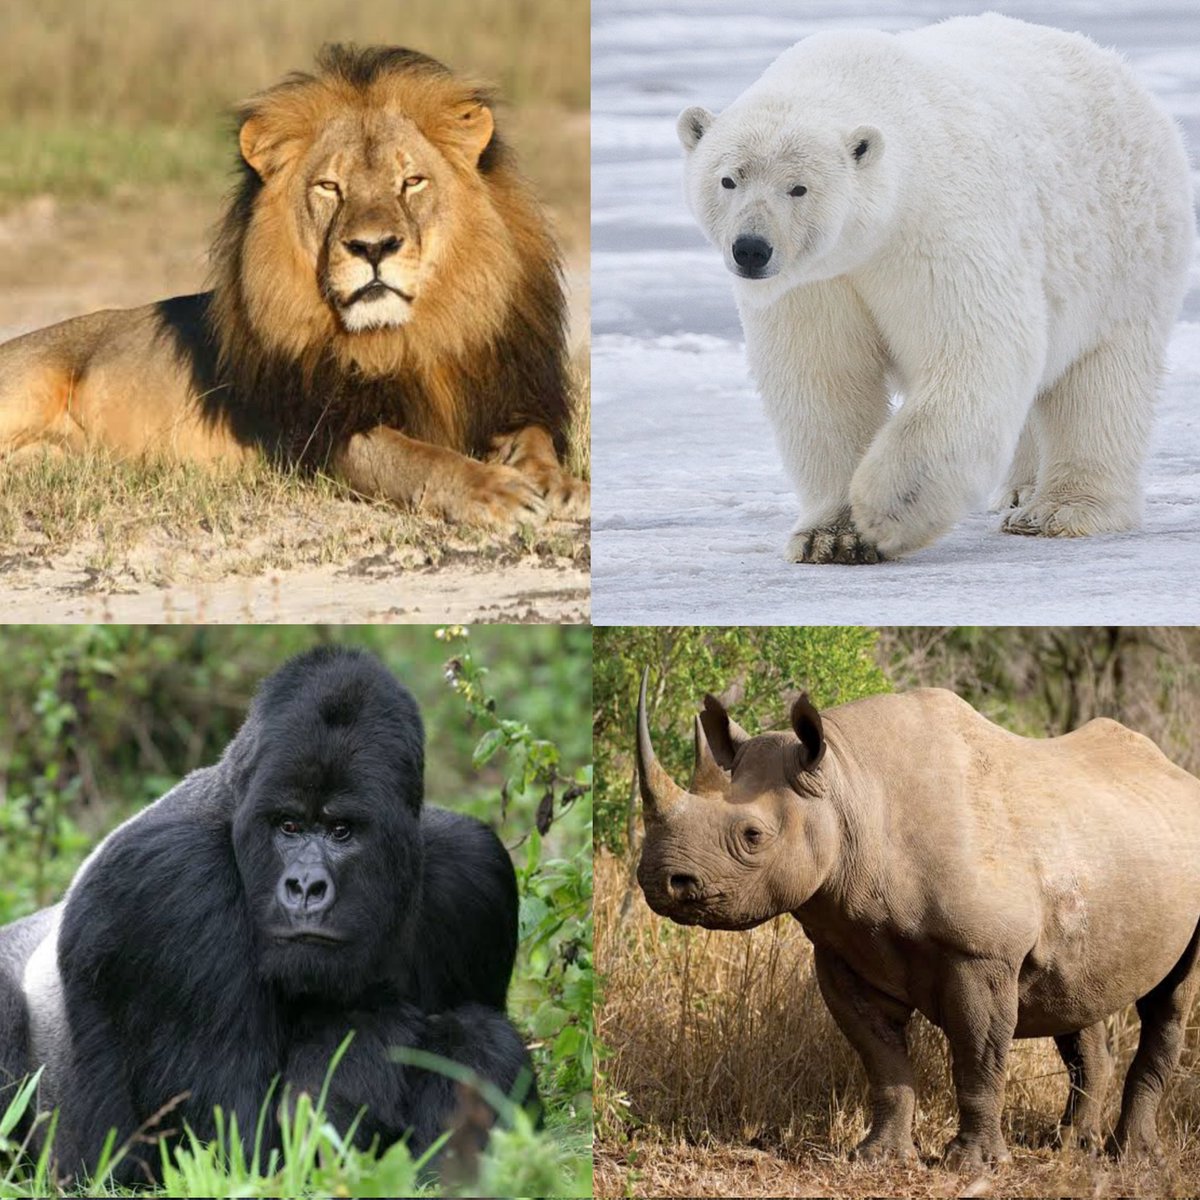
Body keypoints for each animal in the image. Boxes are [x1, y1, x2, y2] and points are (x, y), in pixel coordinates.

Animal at [0, 44, 587, 530]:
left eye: (412, 181)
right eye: (329, 187)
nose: (373, 247)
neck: (413, 336)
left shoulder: (511, 395)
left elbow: (535, 441)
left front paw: (559, 485)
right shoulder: (325, 435)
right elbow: (419, 457)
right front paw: (494, 492)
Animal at [678, 14, 1194, 563]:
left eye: (798, 188)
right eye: (728, 179)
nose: (751, 249)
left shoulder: (935, 227)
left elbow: (975, 349)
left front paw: (884, 511)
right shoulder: (814, 282)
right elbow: (823, 379)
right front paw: (831, 536)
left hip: (1126, 248)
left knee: (1101, 381)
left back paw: (1058, 510)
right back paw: (1019, 490)